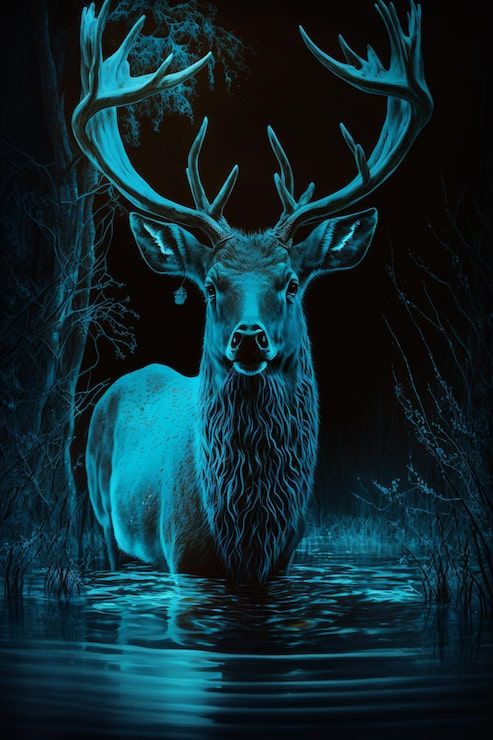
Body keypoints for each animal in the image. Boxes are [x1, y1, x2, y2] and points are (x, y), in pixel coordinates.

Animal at [73, 0, 432, 583]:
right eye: (210, 286)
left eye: (292, 283)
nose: (248, 338)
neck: (246, 539)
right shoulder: (180, 557)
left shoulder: (286, 559)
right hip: (102, 514)